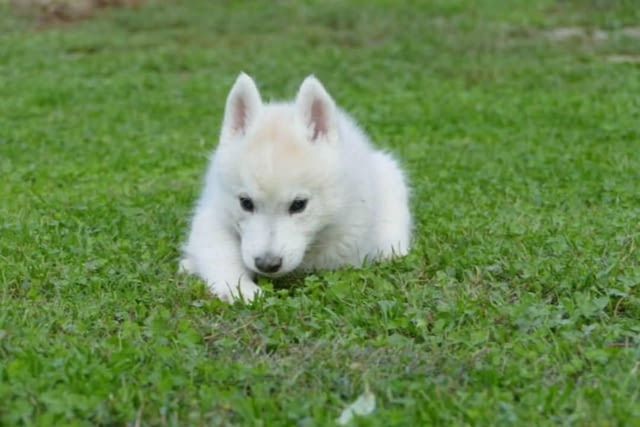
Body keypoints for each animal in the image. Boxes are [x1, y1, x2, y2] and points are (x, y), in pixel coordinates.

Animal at [180, 73, 410, 302]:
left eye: (299, 205)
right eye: (245, 203)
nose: (267, 264)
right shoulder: (213, 214)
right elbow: (219, 253)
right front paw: (240, 289)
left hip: (390, 176)